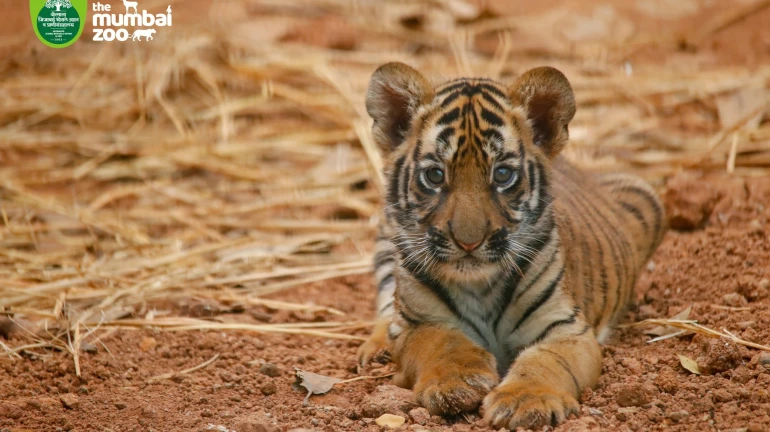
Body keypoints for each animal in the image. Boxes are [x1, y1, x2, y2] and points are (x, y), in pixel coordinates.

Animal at [356, 62, 667, 430]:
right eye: (434, 176)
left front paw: (523, 401)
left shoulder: (565, 328)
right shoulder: (417, 324)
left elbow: (545, 361)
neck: (478, 286)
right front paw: (456, 383)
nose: (468, 241)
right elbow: (443, 342)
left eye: (503, 175)